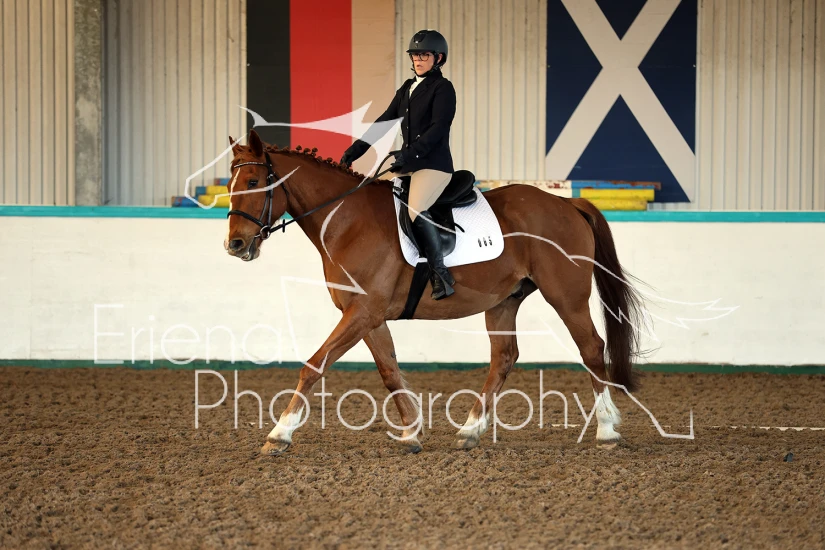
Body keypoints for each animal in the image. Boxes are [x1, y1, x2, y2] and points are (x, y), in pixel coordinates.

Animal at [224, 129, 644, 454]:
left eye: (254, 183)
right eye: (229, 186)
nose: (235, 245)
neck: (346, 220)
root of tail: (566, 202)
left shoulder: (363, 312)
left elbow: (314, 365)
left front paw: (279, 434)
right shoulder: (367, 316)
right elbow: (389, 371)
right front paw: (412, 433)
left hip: (566, 296)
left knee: (591, 348)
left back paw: (607, 430)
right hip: (504, 301)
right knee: (504, 358)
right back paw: (469, 431)